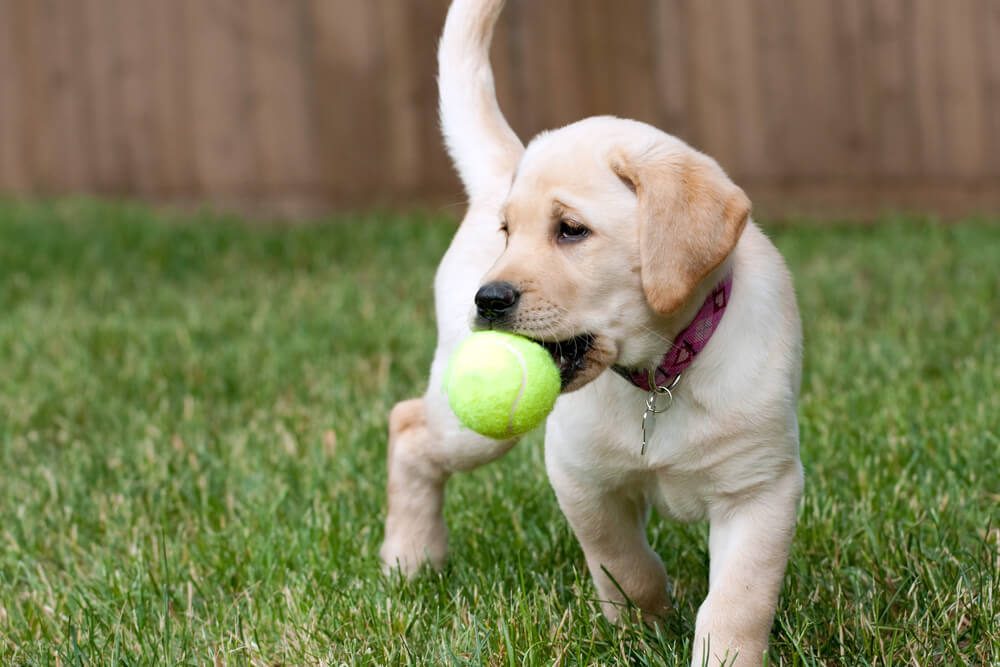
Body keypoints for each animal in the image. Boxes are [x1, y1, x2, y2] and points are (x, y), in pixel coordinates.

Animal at [376, 2, 804, 664]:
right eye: (507, 232)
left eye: (571, 230)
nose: (487, 299)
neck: (660, 374)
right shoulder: (580, 476)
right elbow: (622, 562)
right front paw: (644, 623)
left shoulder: (761, 488)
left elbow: (738, 601)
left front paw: (717, 650)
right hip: (471, 427)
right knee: (409, 427)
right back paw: (411, 557)